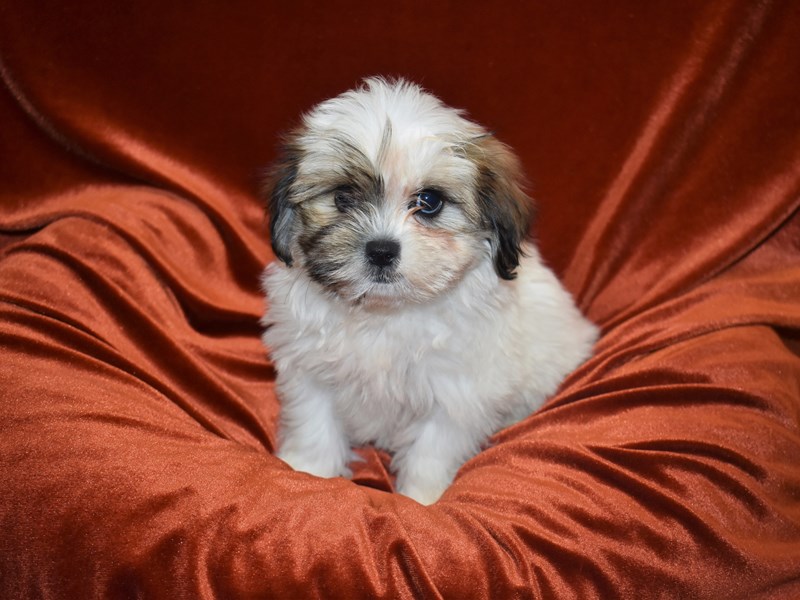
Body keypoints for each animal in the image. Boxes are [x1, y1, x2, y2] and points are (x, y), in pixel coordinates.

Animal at [260, 77, 596, 504]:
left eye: (430, 201)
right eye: (343, 197)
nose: (381, 250)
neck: (386, 313)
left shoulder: (458, 391)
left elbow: (433, 448)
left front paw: (421, 499)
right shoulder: (309, 367)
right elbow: (314, 421)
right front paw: (307, 471)